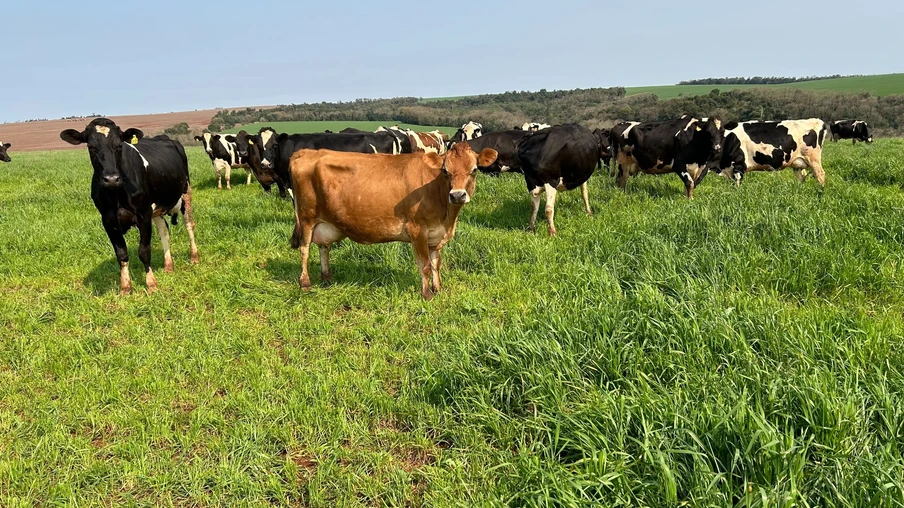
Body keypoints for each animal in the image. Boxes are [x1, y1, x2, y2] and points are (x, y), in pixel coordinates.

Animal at [60, 118, 199, 294]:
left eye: (119, 145)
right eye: (91, 147)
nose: (111, 178)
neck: (116, 196)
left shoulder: (143, 215)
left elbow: (144, 251)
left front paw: (151, 284)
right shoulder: (108, 221)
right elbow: (122, 254)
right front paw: (125, 287)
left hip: (186, 192)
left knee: (189, 225)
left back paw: (194, 257)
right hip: (157, 208)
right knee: (164, 232)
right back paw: (168, 266)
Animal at [289, 142, 498, 300]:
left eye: (474, 170)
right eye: (445, 171)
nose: (457, 195)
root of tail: (306, 151)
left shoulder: (436, 234)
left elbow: (435, 264)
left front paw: (438, 289)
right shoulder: (418, 230)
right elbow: (425, 266)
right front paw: (427, 294)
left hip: (325, 222)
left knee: (323, 247)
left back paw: (327, 278)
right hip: (306, 218)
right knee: (305, 249)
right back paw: (305, 283)